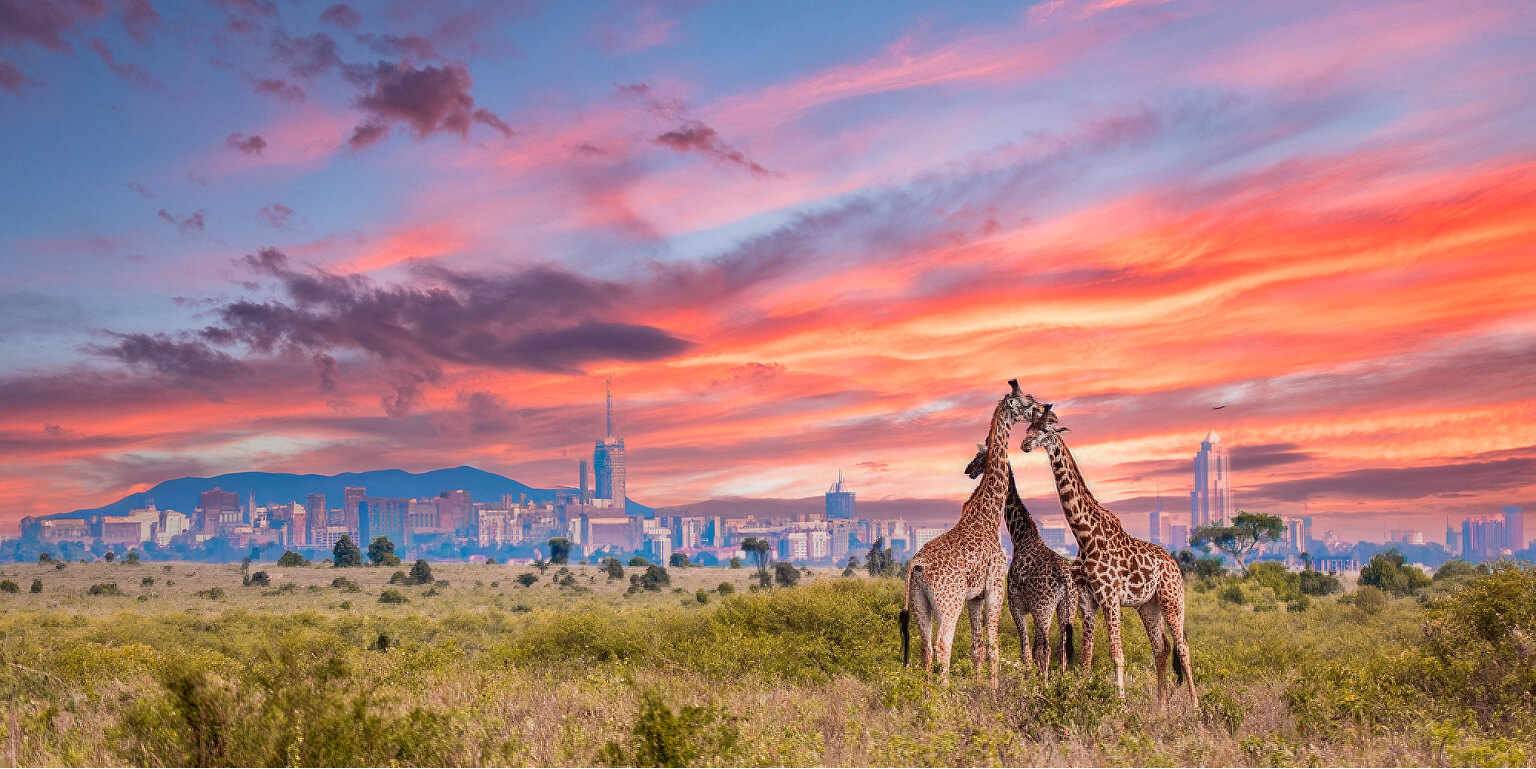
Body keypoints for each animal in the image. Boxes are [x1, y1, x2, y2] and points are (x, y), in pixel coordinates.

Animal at [899, 380, 1036, 686]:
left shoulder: (974, 597)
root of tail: (917, 565)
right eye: (1027, 402)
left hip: (920, 604)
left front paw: (979, 688)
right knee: (942, 647)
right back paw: (946, 696)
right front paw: (993, 693)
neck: (988, 515)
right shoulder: (995, 586)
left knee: (926, 650)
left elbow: (977, 647)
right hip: (949, 603)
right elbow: (993, 646)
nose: (1045, 410)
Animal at [962, 443, 1078, 679]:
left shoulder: (1017, 605)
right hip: (1067, 608)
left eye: (979, 456)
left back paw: (1044, 683)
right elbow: (1032, 650)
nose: (968, 470)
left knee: (1048, 648)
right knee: (1062, 647)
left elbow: (1026, 650)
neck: (1021, 538)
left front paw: (1028, 681)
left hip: (1044, 608)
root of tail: (1065, 577)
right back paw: (1062, 680)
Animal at [1018, 401, 1197, 707]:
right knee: (1161, 647)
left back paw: (1196, 706)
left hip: (1172, 599)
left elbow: (1117, 654)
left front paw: (1120, 704)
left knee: (1183, 647)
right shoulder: (1087, 600)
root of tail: (1175, 565)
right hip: (1147, 606)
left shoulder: (1110, 596)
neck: (1084, 535)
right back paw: (1161, 706)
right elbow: (1086, 657)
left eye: (1045, 430)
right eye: (1029, 427)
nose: (1025, 444)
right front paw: (1079, 697)